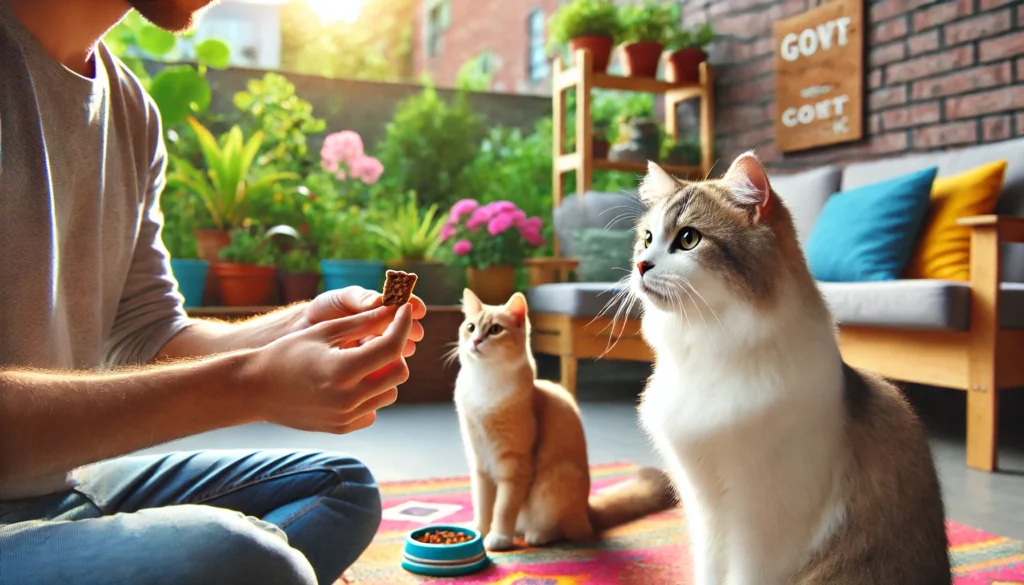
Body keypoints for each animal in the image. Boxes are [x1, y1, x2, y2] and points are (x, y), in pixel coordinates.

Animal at [456, 290, 671, 553]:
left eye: (495, 329)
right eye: (470, 327)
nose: (476, 341)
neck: (484, 382)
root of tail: (587, 511)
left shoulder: (515, 467)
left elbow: (503, 509)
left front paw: (498, 538)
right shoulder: (480, 466)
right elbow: (484, 507)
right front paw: (479, 531)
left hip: (552, 484)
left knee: (566, 531)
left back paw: (537, 535)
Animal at [630, 153, 950, 581]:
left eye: (688, 239)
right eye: (648, 238)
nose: (640, 264)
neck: (705, 350)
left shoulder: (759, 526)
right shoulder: (703, 507)